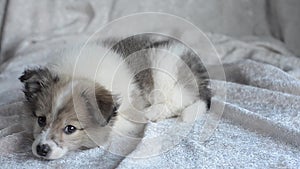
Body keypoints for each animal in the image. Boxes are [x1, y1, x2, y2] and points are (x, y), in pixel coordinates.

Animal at [18, 33, 211, 160]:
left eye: (70, 129)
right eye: (41, 120)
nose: (41, 149)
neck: (80, 75)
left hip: (164, 67)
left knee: (175, 102)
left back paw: (151, 113)